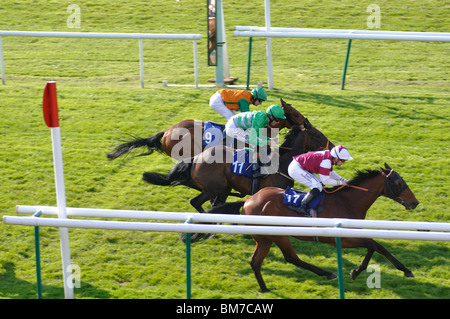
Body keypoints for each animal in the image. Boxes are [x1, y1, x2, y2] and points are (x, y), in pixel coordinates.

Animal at [207, 166, 418, 294]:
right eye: (399, 183)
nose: (415, 202)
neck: (347, 201)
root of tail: (248, 200)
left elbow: (373, 246)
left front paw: (356, 271)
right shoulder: (342, 238)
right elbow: (376, 245)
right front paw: (405, 270)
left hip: (264, 238)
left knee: (255, 262)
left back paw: (265, 289)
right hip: (278, 234)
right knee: (291, 257)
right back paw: (327, 273)